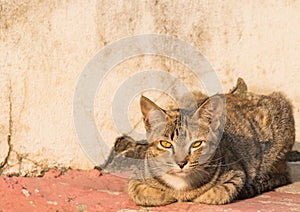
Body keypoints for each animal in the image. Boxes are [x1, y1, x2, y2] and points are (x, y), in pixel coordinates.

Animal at [102, 78, 294, 205]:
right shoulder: (137, 176)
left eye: (196, 144)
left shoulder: (236, 174)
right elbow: (140, 191)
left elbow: (216, 193)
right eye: (166, 144)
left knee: (281, 175)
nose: (181, 162)